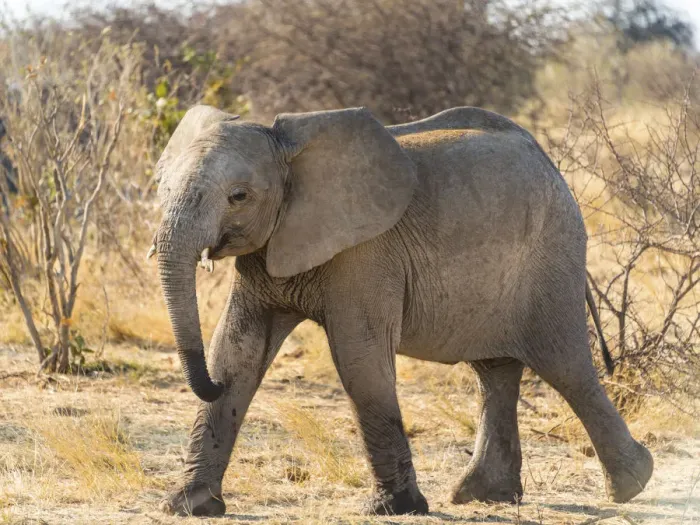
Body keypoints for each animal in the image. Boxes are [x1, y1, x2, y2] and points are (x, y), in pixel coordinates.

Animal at [151, 105, 653, 516]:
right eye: (162, 187)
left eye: (238, 196)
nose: (206, 385)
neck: (290, 150)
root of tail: (548, 160)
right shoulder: (268, 249)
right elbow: (237, 352)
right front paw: (190, 506)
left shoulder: (366, 253)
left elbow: (359, 358)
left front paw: (395, 508)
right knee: (495, 371)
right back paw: (484, 496)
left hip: (552, 254)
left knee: (564, 365)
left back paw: (632, 484)